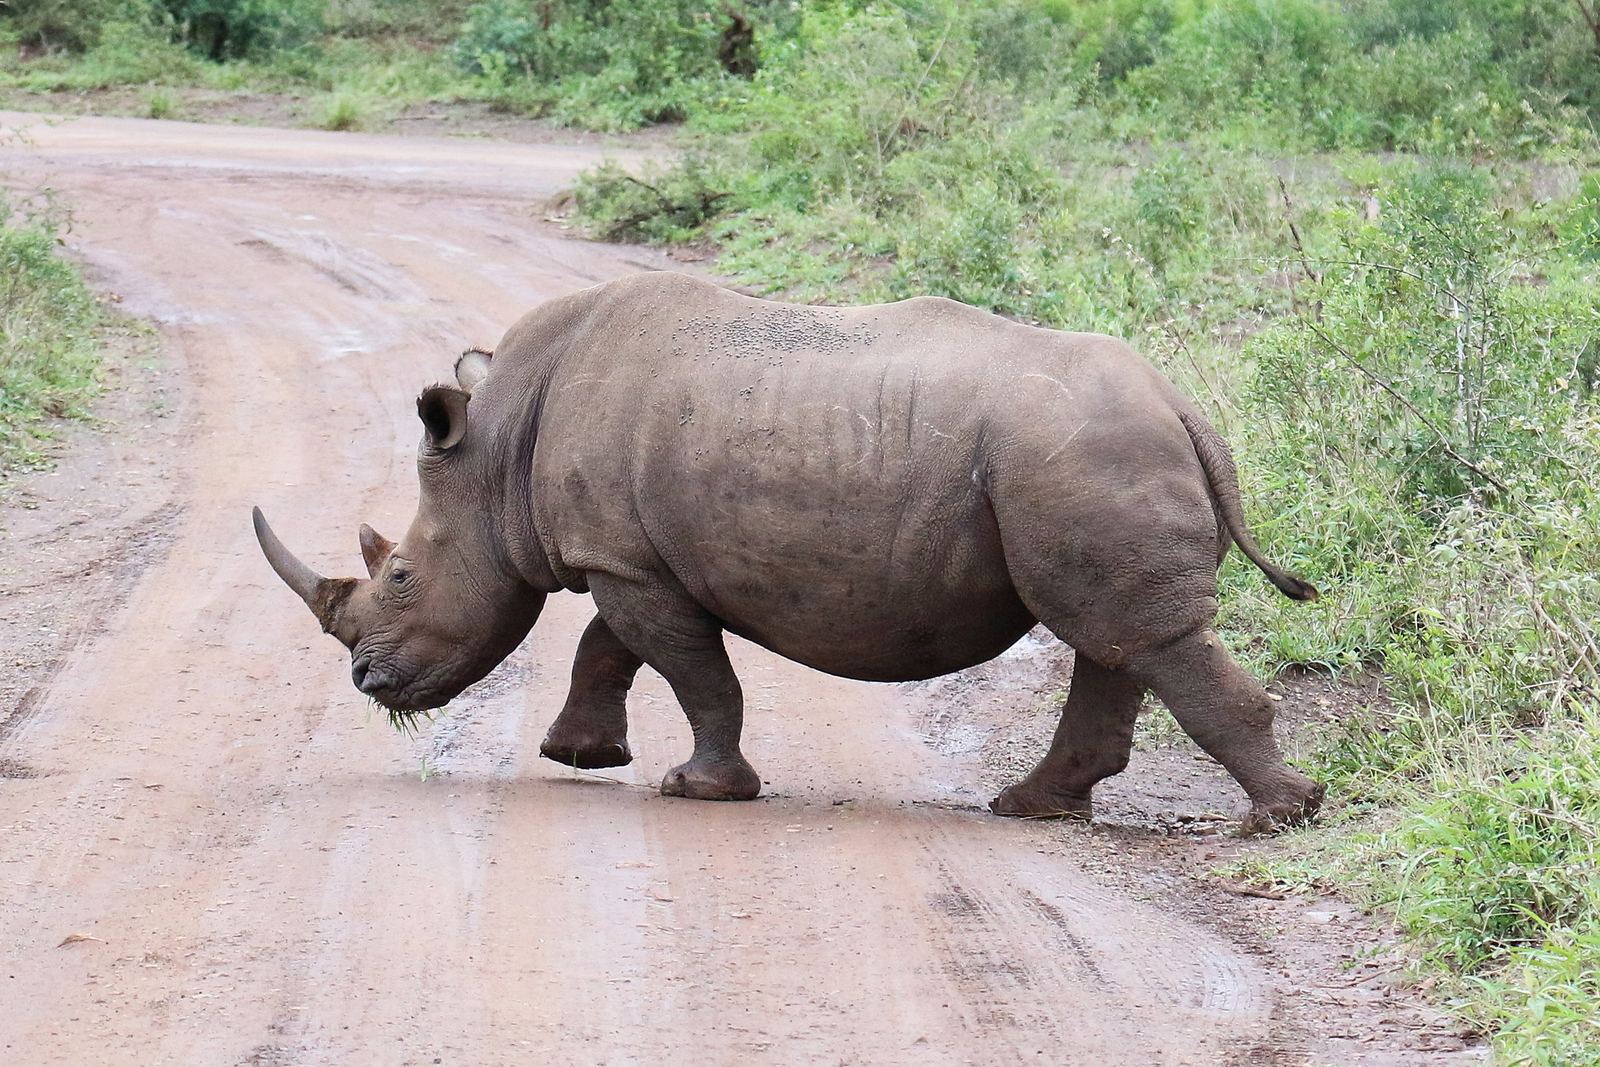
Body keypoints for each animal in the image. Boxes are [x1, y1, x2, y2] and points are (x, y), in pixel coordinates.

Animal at [254, 272, 1324, 832]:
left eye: (401, 576)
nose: (365, 680)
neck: (499, 447)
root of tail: (1184, 407)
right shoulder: (632, 555)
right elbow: (610, 646)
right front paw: (579, 753)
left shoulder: (627, 560)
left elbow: (692, 672)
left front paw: (696, 788)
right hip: (1086, 456)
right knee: (1116, 635)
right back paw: (1029, 808)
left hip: (1082, 452)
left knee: (1132, 634)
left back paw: (1282, 816)